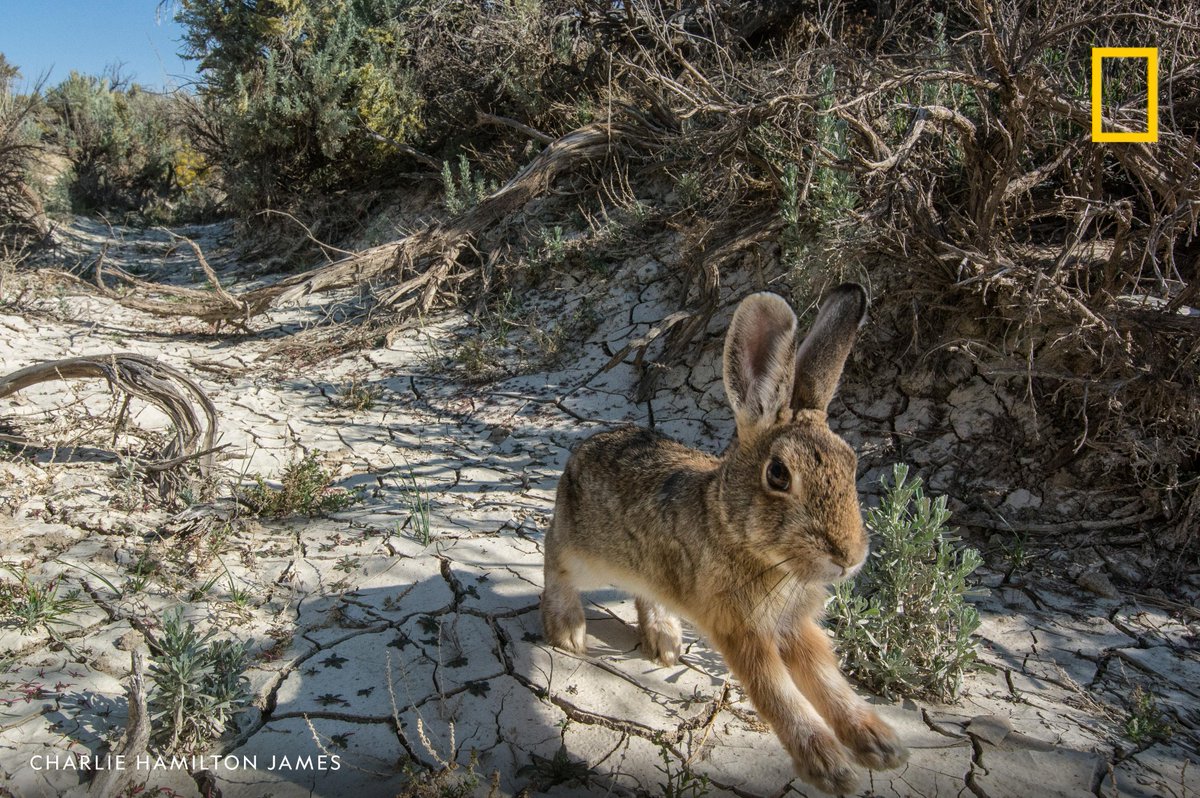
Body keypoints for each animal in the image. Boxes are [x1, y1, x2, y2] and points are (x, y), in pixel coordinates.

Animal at [540, 284, 907, 794]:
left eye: (851, 463)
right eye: (778, 474)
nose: (849, 558)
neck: (738, 534)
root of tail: (581, 452)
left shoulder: (794, 624)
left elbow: (830, 682)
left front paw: (880, 744)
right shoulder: (742, 628)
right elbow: (778, 694)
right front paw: (829, 767)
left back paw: (664, 639)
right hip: (585, 553)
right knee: (553, 555)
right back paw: (568, 629)